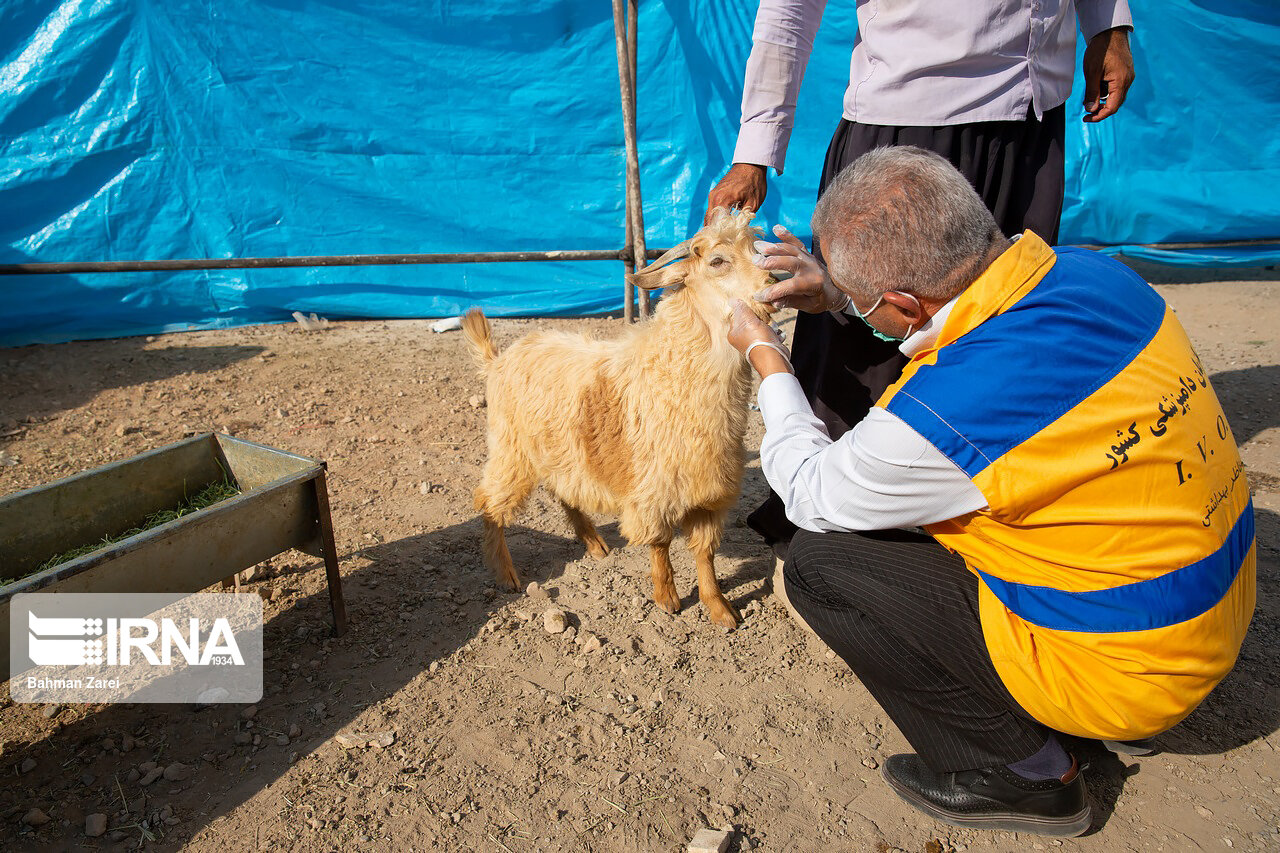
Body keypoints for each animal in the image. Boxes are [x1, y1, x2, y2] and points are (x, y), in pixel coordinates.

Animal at [465, 208, 773, 627]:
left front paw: (720, 609)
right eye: (717, 261)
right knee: (489, 503)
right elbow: (660, 545)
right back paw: (506, 574)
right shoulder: (655, 490)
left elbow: (704, 553)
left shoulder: (709, 492)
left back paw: (595, 544)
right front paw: (667, 598)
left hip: (561, 451)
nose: (773, 282)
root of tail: (497, 360)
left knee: (564, 491)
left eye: (757, 249)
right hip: (511, 449)